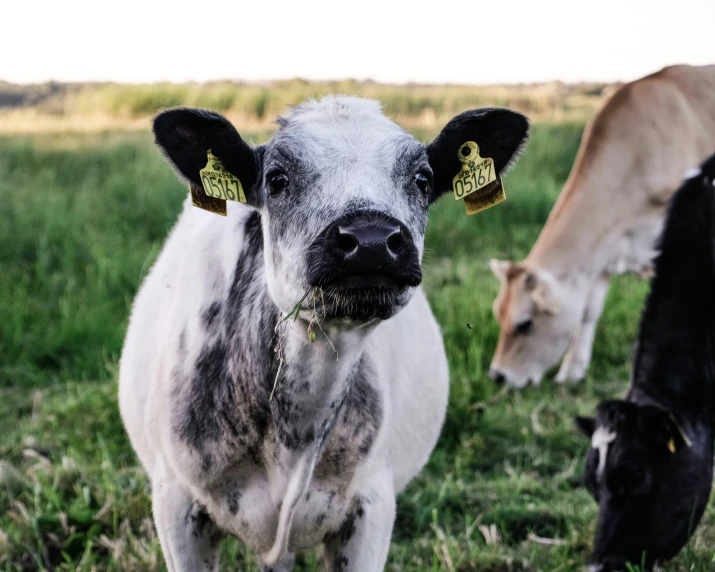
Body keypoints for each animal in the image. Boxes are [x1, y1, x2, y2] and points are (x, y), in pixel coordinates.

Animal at [120, 96, 528, 568]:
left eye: (423, 180)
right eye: (277, 179)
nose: (370, 239)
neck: (294, 433)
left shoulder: (372, 507)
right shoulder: (176, 506)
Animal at [490, 67, 715, 388]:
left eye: (525, 324)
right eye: (498, 314)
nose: (497, 376)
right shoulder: (602, 249)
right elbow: (588, 310)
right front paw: (572, 370)